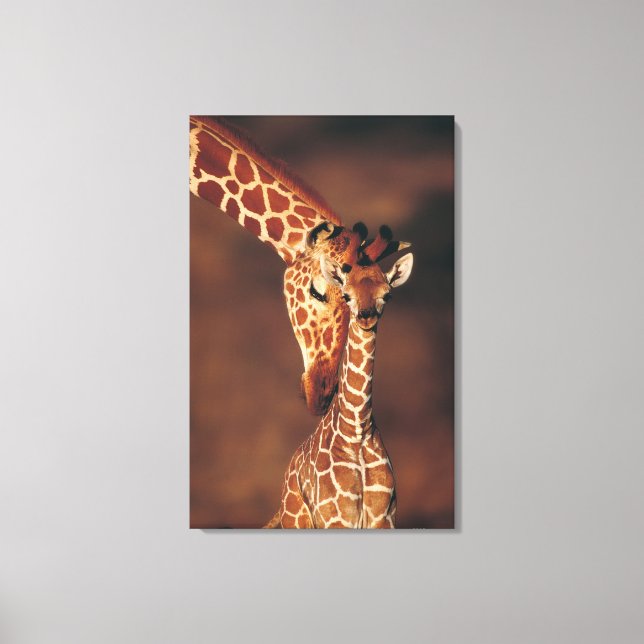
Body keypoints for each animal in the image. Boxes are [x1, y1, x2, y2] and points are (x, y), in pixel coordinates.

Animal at [266, 228, 414, 529]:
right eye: (347, 295)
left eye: (387, 295)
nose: (366, 316)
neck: (356, 430)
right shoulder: (337, 519)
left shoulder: (384, 518)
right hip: (298, 521)